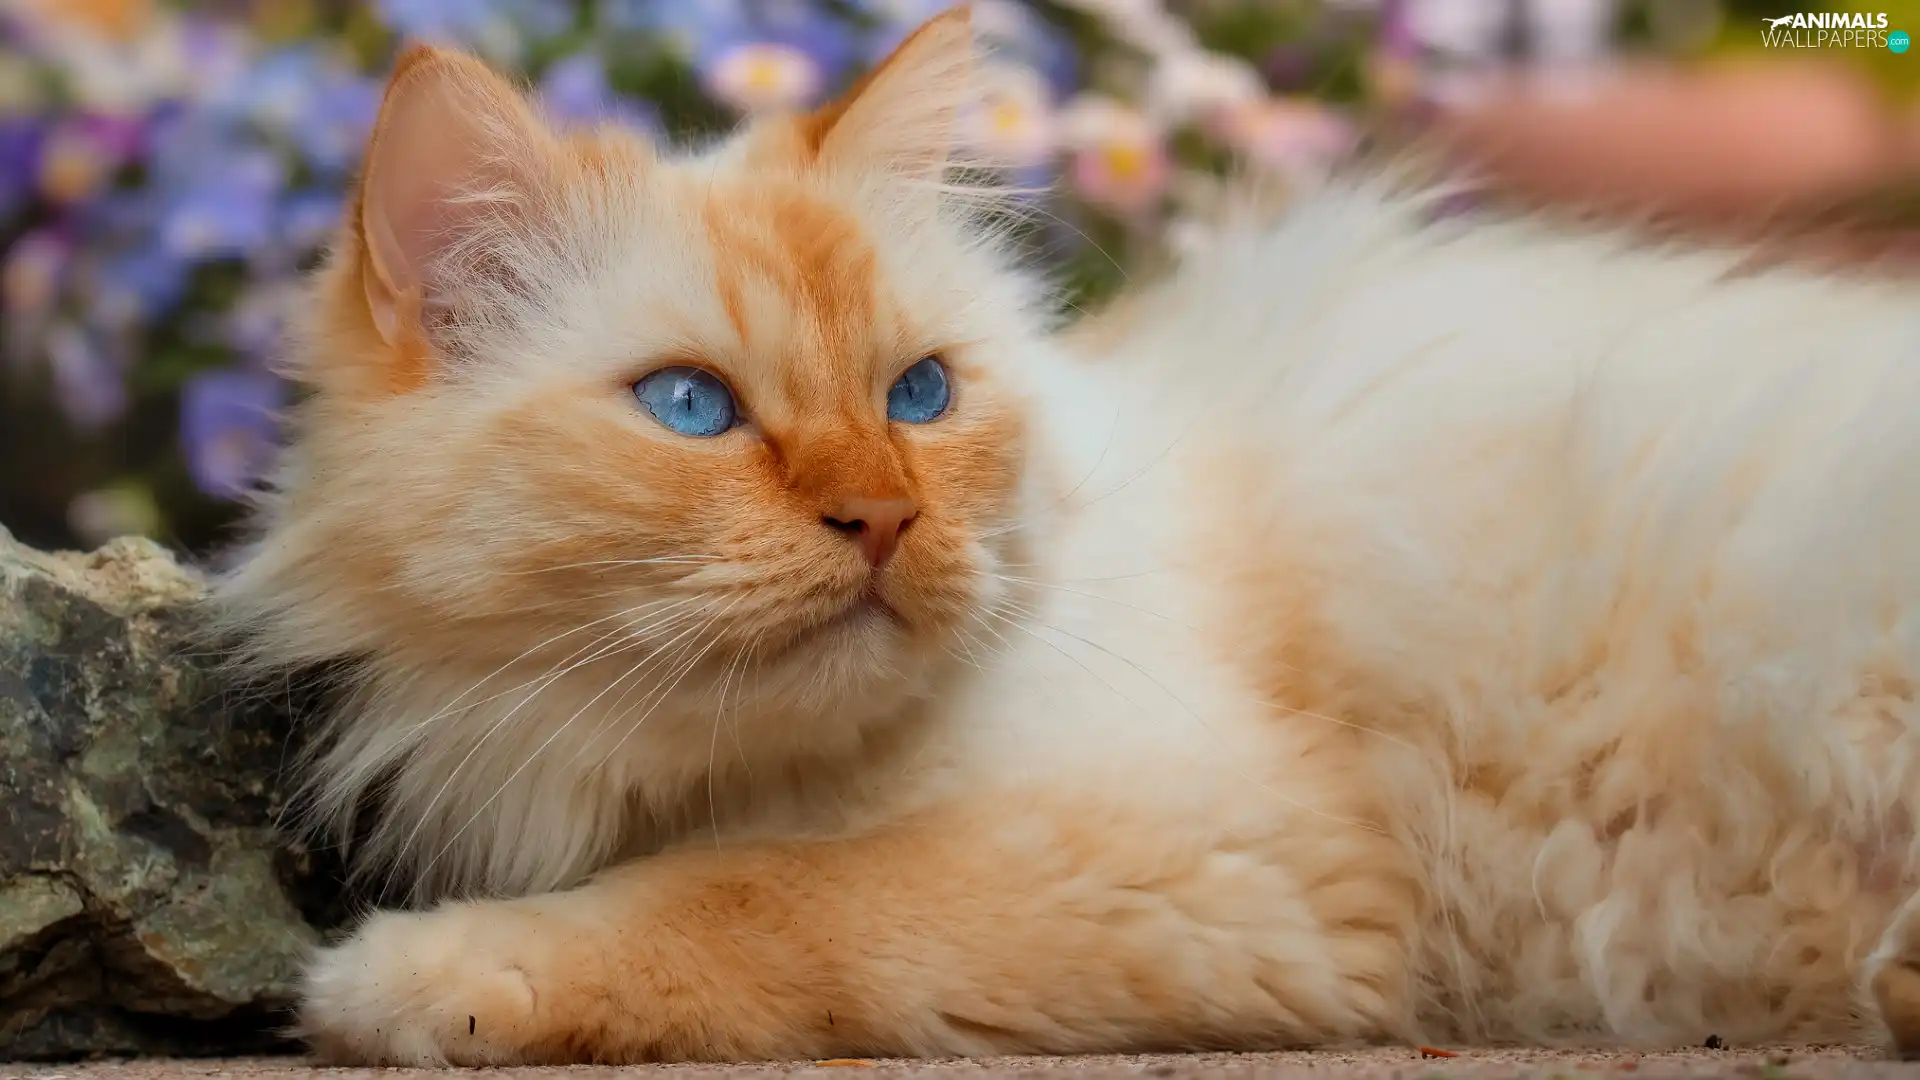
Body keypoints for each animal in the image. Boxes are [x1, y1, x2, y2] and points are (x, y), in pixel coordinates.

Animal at [214, 4, 1920, 1060]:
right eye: (694, 409)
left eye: (918, 394)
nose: (885, 519)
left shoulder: (1216, 854)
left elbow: (764, 898)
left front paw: (413, 978)